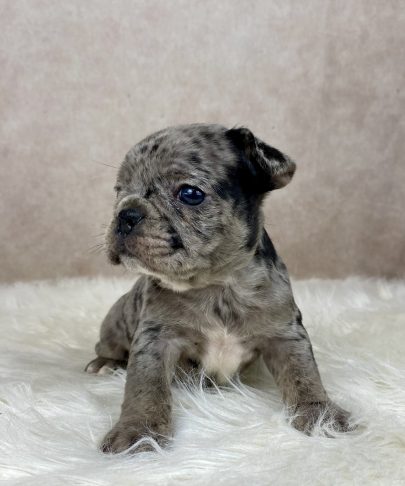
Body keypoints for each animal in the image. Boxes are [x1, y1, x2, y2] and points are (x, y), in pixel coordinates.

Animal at [85, 123, 353, 453]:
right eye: (119, 191)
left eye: (190, 193)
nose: (125, 214)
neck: (216, 284)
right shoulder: (155, 339)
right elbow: (146, 386)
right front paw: (138, 431)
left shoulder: (285, 333)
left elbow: (303, 373)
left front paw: (320, 414)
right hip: (114, 323)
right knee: (108, 347)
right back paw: (104, 363)